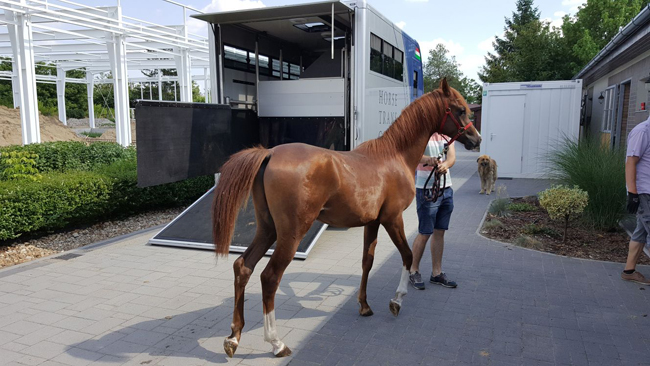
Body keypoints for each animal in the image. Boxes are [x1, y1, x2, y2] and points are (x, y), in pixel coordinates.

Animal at [210, 79, 478, 358]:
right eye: (460, 109)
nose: (476, 138)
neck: (394, 156)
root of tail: (270, 153)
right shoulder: (393, 219)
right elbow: (407, 255)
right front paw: (397, 300)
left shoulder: (372, 223)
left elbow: (367, 262)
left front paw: (364, 305)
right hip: (291, 234)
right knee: (269, 277)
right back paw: (276, 342)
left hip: (267, 229)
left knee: (243, 267)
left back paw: (233, 337)